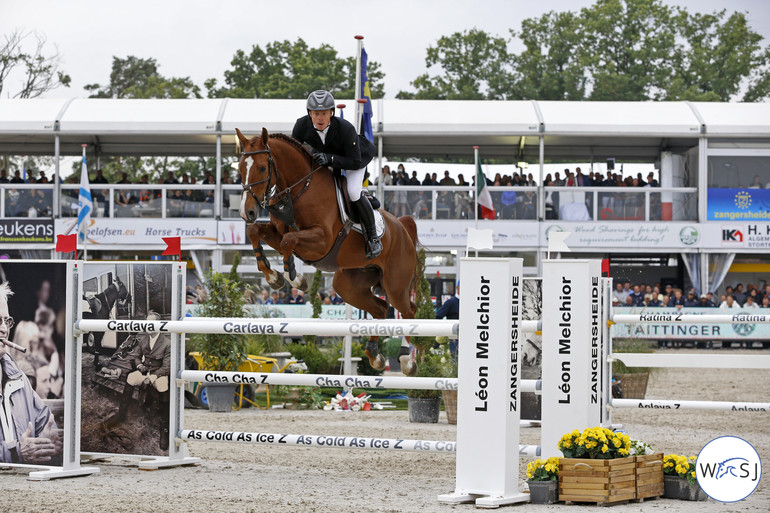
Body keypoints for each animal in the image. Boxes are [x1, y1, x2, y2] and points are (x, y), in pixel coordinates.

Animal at [234, 127, 416, 374]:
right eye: (240, 168)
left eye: (262, 167)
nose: (247, 212)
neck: (300, 189)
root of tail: (403, 228)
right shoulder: (277, 232)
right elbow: (256, 231)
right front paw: (274, 277)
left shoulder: (321, 241)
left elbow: (288, 241)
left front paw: (295, 278)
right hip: (348, 285)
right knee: (380, 308)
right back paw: (375, 356)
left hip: (395, 284)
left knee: (408, 311)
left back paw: (407, 360)